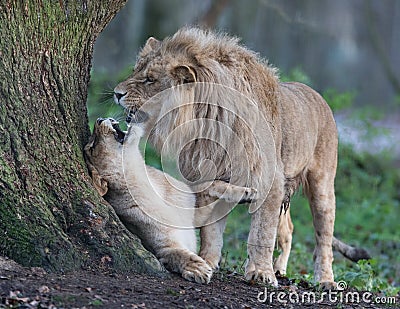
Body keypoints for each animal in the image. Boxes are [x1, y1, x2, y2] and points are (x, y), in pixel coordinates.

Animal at [111, 27, 366, 286]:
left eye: (150, 79)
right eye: (135, 70)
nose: (116, 93)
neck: (204, 121)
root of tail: (317, 94)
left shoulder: (270, 180)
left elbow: (262, 232)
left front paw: (261, 273)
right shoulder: (204, 170)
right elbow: (210, 228)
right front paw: (207, 260)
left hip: (323, 186)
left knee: (324, 238)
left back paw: (324, 279)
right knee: (289, 229)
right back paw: (280, 268)